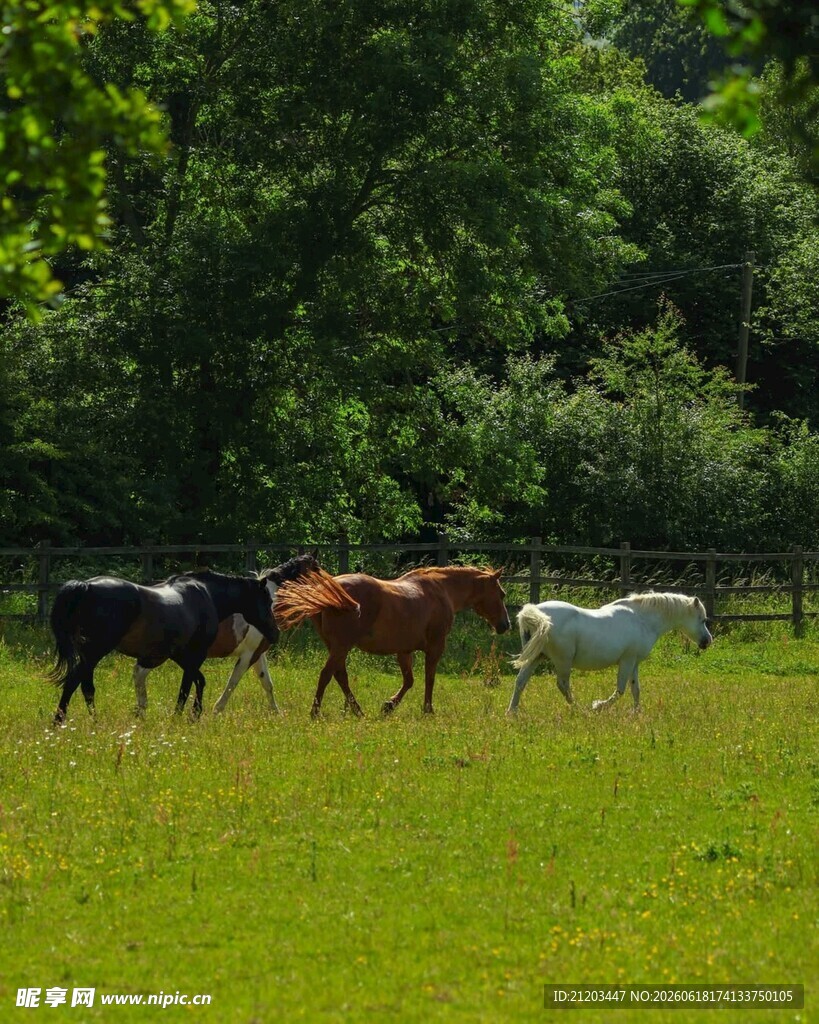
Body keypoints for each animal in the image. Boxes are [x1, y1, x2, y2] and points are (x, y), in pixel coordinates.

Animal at [49, 569, 280, 724]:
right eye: (268, 601)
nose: (275, 634)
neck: (206, 595)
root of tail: (86, 586)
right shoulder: (196, 655)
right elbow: (186, 687)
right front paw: (181, 716)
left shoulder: (179, 655)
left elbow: (199, 681)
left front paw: (194, 714)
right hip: (95, 651)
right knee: (74, 682)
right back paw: (60, 722)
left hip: (90, 654)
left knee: (86, 686)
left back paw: (91, 721)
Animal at [130, 553, 319, 715]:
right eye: (317, 570)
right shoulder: (249, 654)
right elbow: (233, 682)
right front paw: (216, 710)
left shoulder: (258, 653)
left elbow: (267, 683)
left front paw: (276, 714)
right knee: (140, 673)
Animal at [274, 565, 511, 717]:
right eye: (501, 593)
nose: (505, 625)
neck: (441, 591)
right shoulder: (435, 647)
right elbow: (429, 678)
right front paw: (428, 710)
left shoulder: (404, 651)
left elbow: (409, 681)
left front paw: (388, 706)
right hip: (341, 647)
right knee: (327, 675)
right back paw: (316, 712)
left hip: (336, 647)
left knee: (340, 676)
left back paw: (357, 711)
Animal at [507, 592, 712, 713]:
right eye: (702, 619)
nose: (707, 642)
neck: (642, 620)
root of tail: (537, 614)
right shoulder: (627, 661)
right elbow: (620, 690)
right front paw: (598, 706)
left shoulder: (634, 662)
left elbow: (635, 689)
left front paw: (637, 712)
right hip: (562, 661)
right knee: (563, 685)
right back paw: (580, 709)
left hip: (534, 658)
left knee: (520, 682)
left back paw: (512, 712)